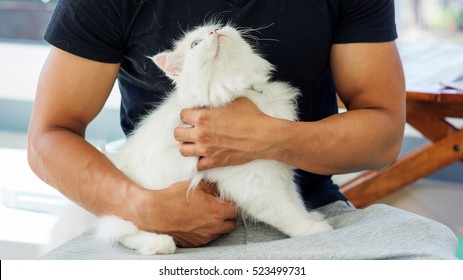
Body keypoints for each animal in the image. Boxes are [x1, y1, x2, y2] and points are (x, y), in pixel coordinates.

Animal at [96, 24, 332, 255]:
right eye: (195, 44)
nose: (214, 32)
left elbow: (296, 200)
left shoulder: (280, 167)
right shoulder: (255, 183)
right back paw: (159, 244)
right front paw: (313, 228)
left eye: (219, 27)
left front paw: (311, 216)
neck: (237, 88)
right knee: (121, 230)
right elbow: (287, 212)